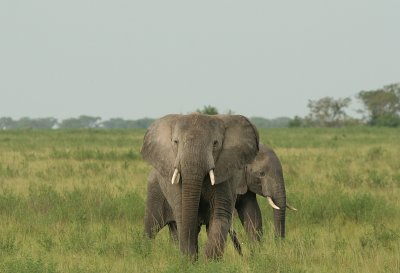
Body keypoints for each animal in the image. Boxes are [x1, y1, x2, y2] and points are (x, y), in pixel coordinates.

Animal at [141, 112, 260, 258]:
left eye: (215, 144)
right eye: (176, 142)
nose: (243, 255)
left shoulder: (225, 172)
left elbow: (219, 214)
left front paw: (208, 261)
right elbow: (183, 213)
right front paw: (190, 260)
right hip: (153, 190)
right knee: (151, 228)